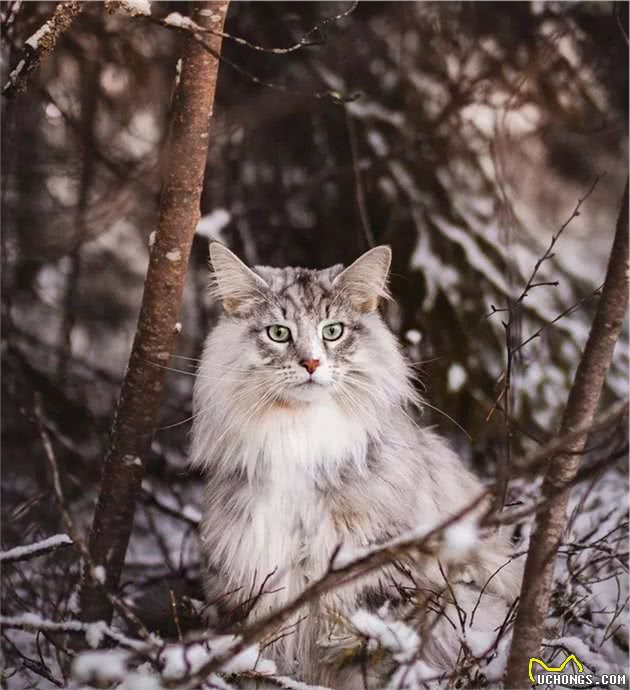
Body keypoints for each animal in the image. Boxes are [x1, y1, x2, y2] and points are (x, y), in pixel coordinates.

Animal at [191, 242, 524, 684]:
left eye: (333, 331)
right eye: (278, 333)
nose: (312, 363)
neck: (301, 440)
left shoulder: (378, 584)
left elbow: (369, 666)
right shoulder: (251, 581)